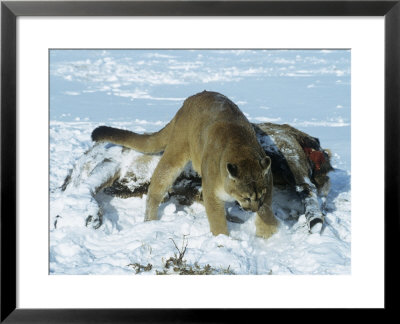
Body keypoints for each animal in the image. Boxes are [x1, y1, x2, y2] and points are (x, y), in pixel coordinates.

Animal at [92, 91, 276, 238]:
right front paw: (223, 240)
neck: (240, 149)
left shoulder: (268, 181)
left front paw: (267, 234)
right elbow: (217, 220)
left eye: (261, 194)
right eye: (246, 197)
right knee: (156, 187)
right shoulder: (211, 192)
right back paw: (151, 222)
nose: (253, 209)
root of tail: (190, 99)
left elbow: (267, 209)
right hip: (176, 152)